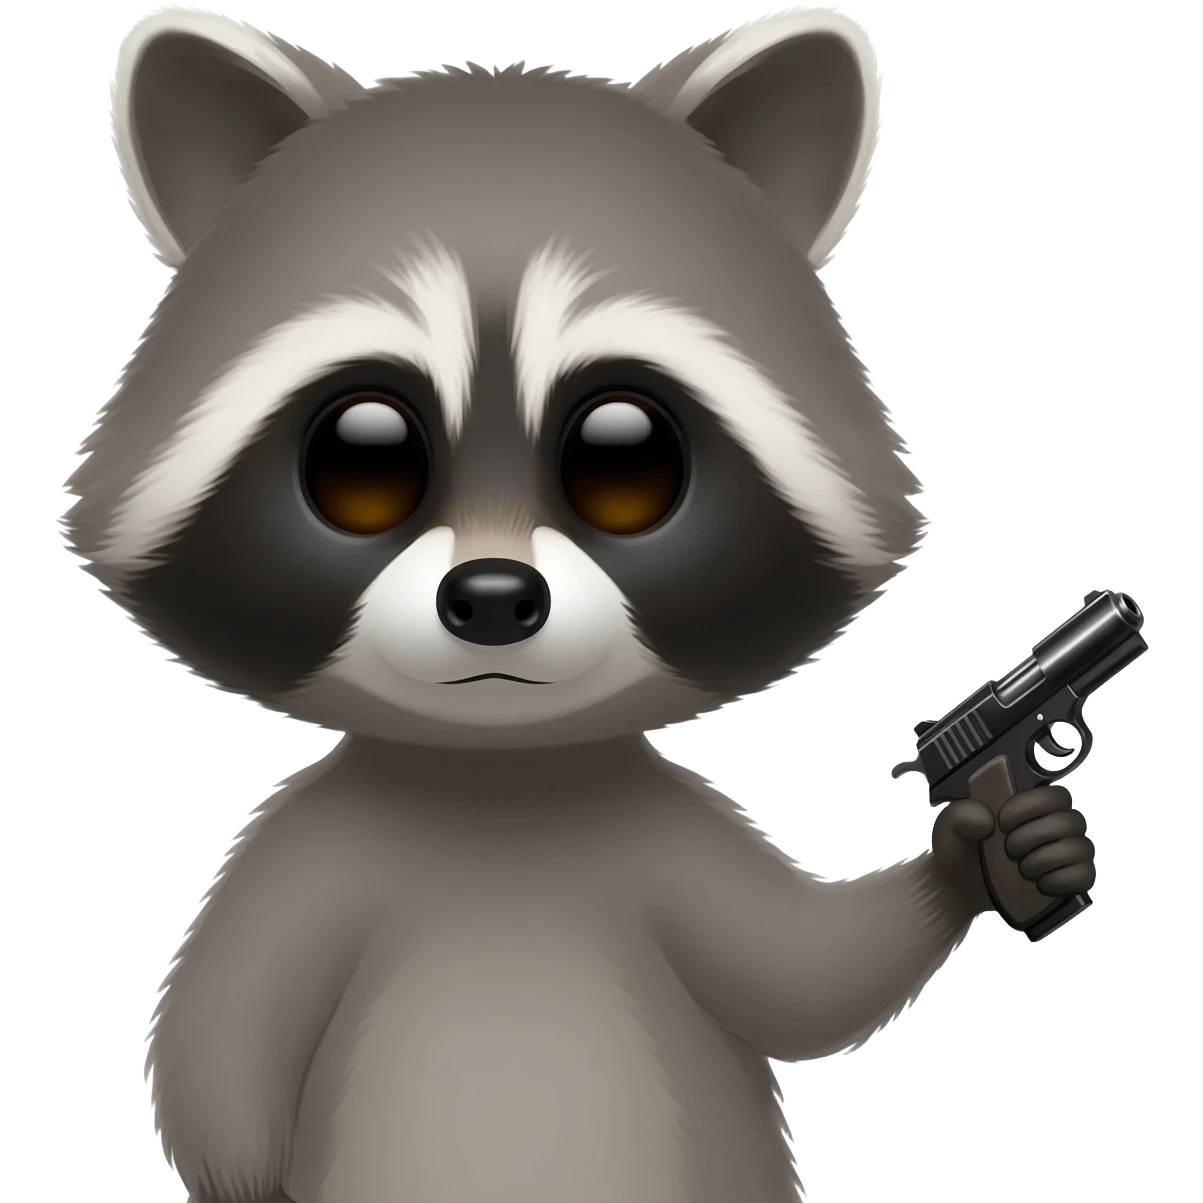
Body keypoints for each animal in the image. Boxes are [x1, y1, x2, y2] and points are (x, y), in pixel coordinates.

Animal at [60, 6, 1096, 1203]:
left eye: (625, 456)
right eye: (362, 457)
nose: (493, 598)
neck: (504, 778)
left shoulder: (671, 829)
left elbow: (797, 975)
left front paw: (988, 859)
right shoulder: (299, 845)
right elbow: (214, 1043)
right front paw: (234, 1172)